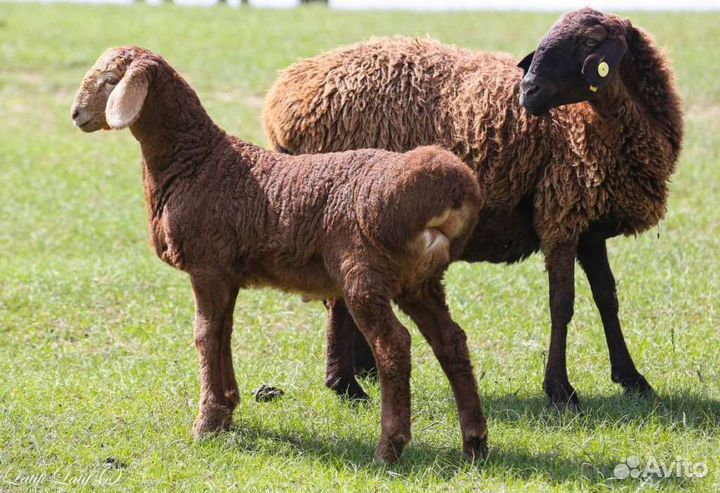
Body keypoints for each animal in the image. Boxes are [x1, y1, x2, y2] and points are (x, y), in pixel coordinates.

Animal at [70, 46, 488, 464]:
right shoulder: (227, 274)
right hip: (420, 282)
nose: (76, 114)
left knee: (394, 346)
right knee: (451, 341)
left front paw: (206, 423)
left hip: (363, 274)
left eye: (111, 80)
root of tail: (450, 190)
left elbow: (204, 335)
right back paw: (475, 443)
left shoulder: (207, 265)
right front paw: (227, 410)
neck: (197, 161)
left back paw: (389, 448)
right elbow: (224, 332)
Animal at [262, 8, 684, 408]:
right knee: (339, 299)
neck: (589, 121)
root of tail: (286, 96)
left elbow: (607, 298)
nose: (527, 90)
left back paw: (362, 371)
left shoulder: (590, 224)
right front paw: (560, 390)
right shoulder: (560, 212)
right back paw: (346, 384)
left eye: (591, 41)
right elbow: (562, 303)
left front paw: (632, 378)